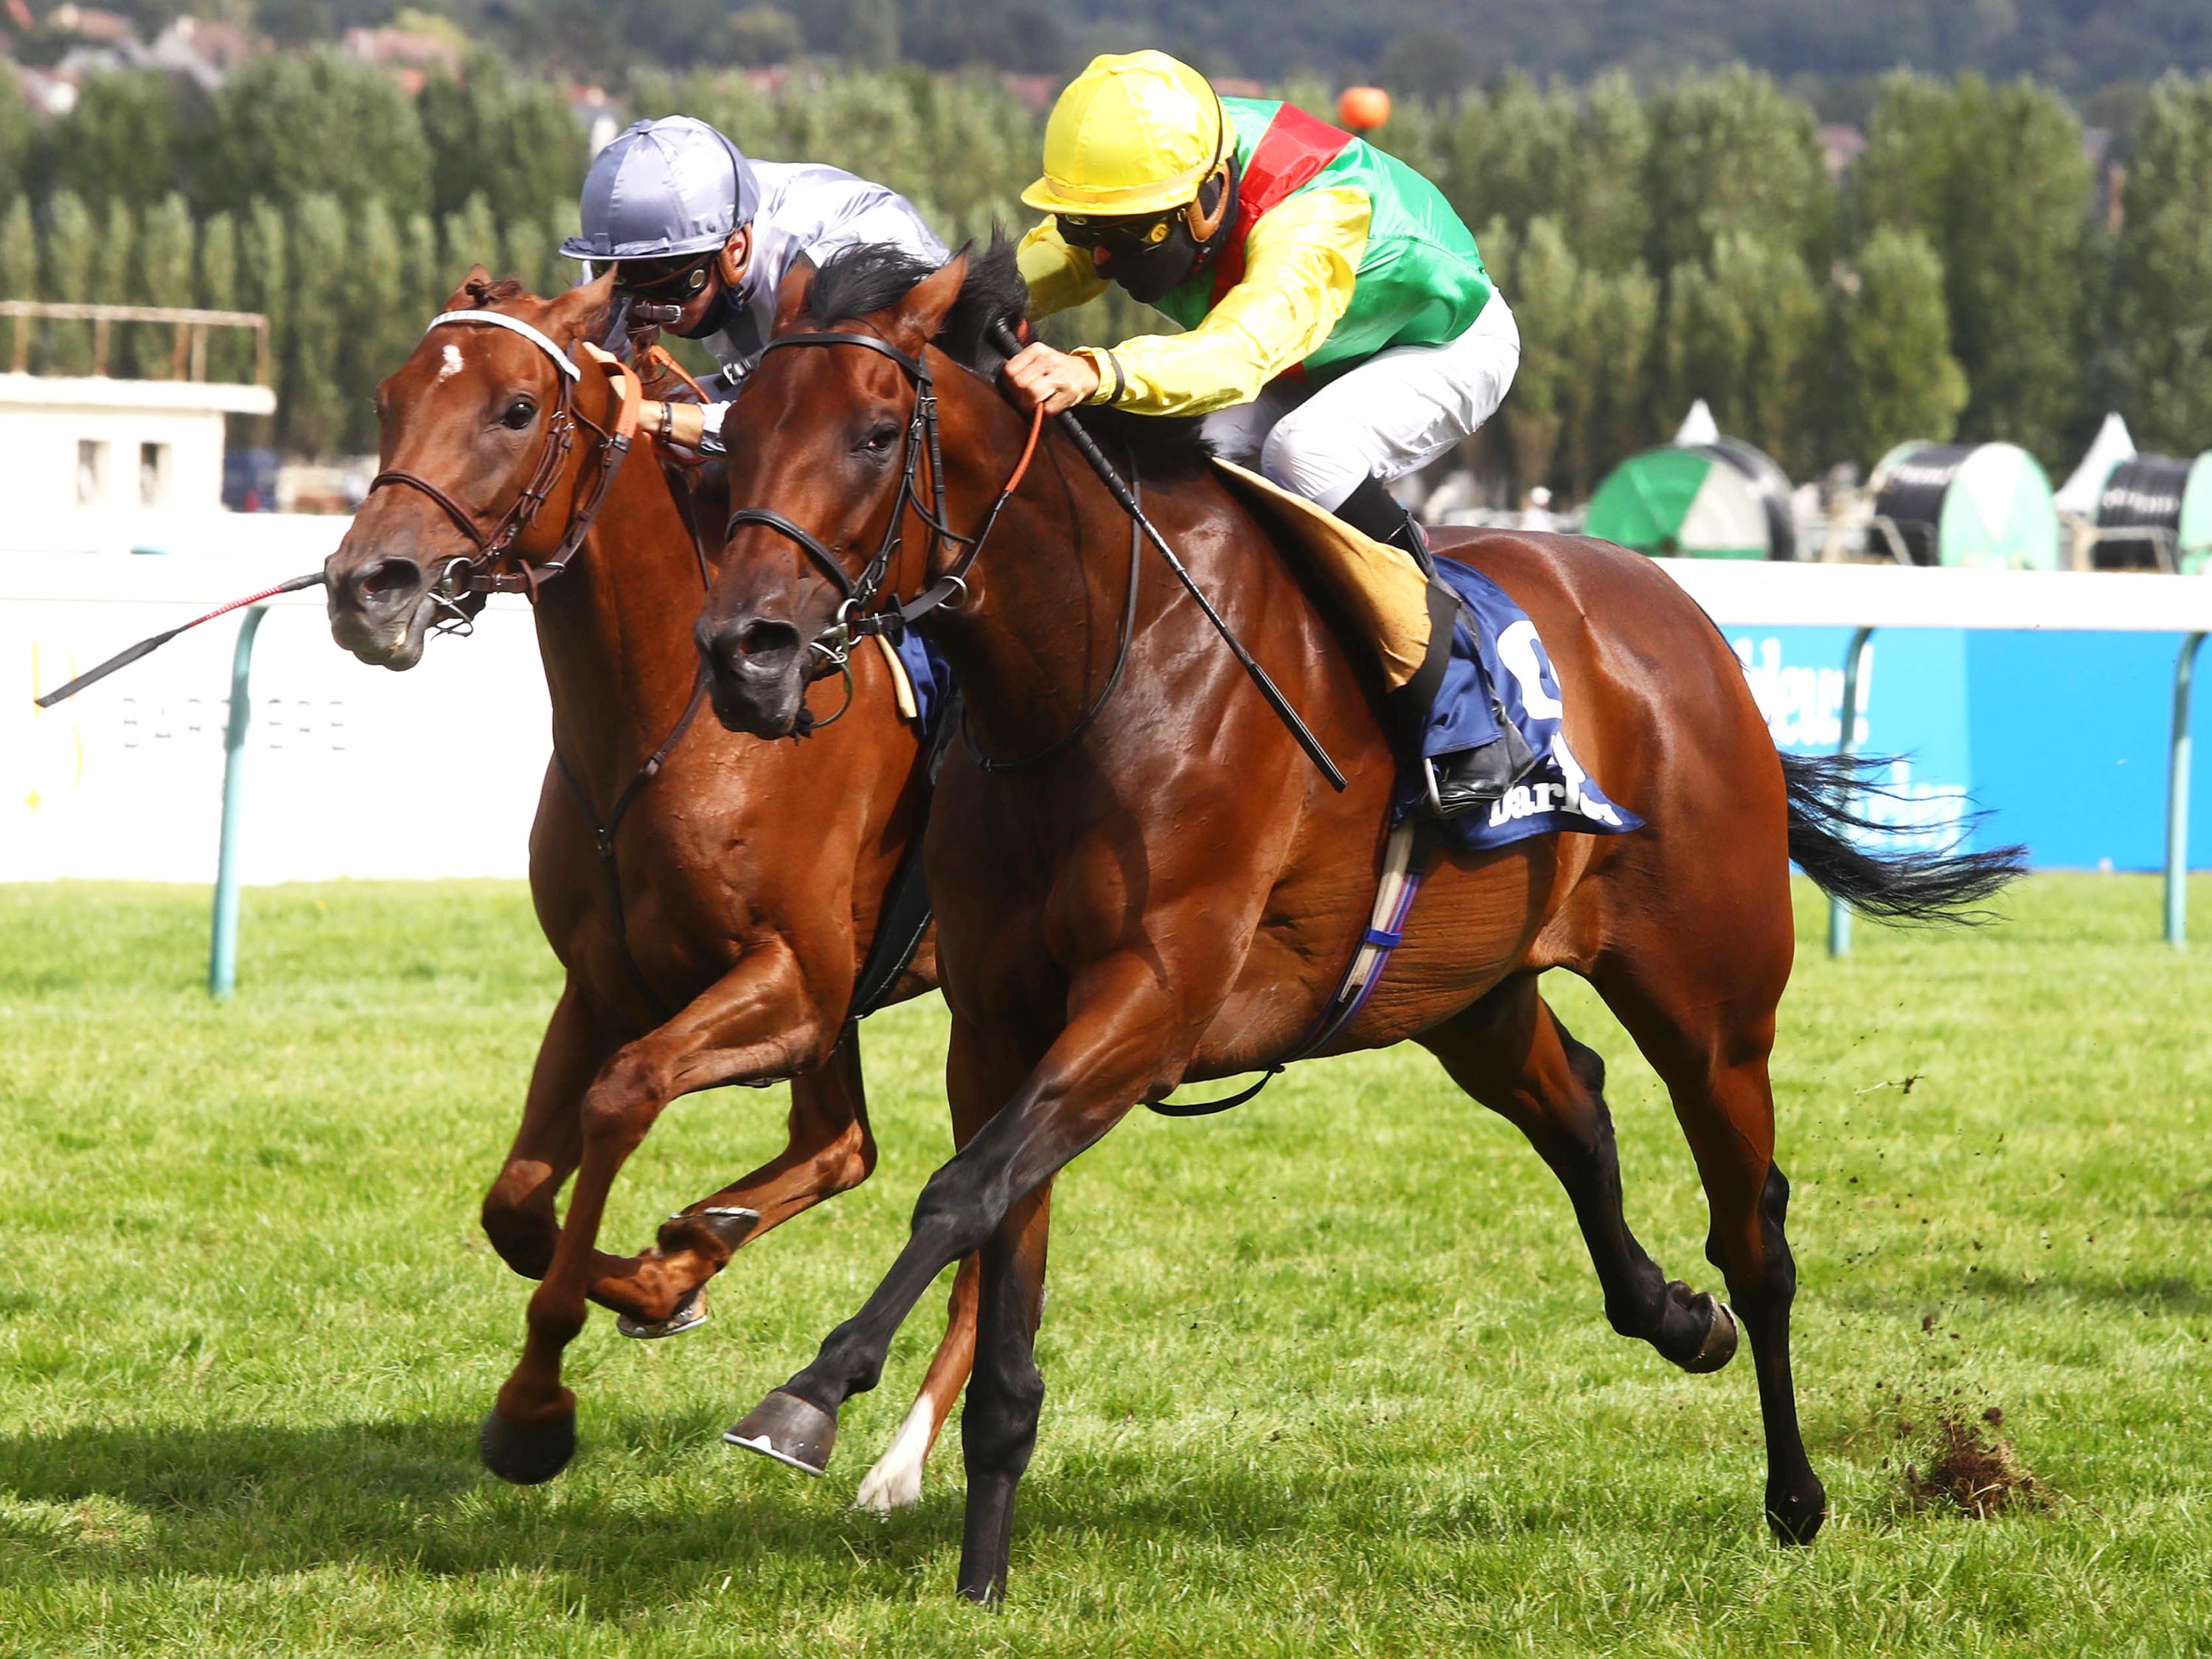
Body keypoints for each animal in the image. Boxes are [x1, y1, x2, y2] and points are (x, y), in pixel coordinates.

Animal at [322, 266, 981, 1511]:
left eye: (517, 409)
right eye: (388, 399)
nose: (363, 587)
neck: (669, 714)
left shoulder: (795, 979)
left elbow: (621, 1097)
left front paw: (538, 1404)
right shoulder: (607, 982)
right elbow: (517, 1204)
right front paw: (666, 1275)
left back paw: (900, 1456)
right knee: (845, 1143)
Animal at [691, 242, 2023, 1601]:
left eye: (871, 436)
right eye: (736, 435)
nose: (744, 654)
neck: (1088, 674)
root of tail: (1683, 620)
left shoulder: (1155, 999)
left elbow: (959, 1195)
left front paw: (811, 1394)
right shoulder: (1003, 1019)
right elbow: (1001, 1230)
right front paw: (982, 1569)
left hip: (1710, 1003)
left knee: (1755, 1233)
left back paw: (1795, 1492)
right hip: (1465, 991)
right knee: (1580, 1110)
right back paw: (1677, 1319)